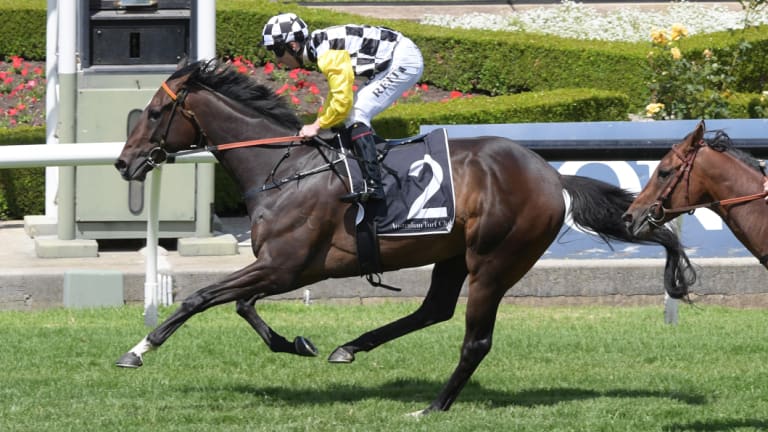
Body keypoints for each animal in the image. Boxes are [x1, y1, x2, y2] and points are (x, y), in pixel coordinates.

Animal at [114, 59, 696, 414]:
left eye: (154, 112)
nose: (123, 163)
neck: (284, 169)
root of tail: (552, 177)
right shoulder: (286, 267)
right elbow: (239, 304)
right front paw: (297, 342)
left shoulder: (286, 264)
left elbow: (201, 297)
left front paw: (138, 349)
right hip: (453, 254)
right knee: (433, 309)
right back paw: (349, 348)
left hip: (495, 259)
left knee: (474, 338)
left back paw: (434, 405)